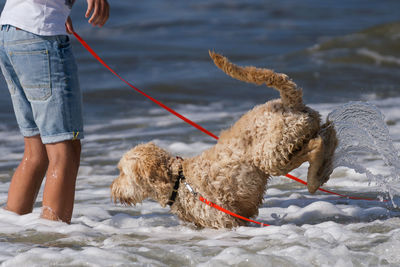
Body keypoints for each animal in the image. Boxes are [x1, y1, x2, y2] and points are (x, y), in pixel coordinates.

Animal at [110, 51, 338, 228]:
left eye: (122, 172)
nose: (112, 189)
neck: (178, 182)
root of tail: (289, 103)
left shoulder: (225, 220)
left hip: (271, 154)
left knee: (316, 144)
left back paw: (313, 179)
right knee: (328, 134)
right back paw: (323, 168)